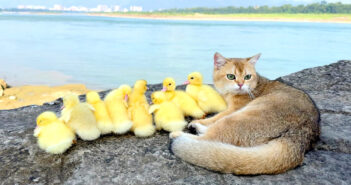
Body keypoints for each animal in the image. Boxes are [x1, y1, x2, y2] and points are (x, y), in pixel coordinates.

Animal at [169, 52, 320, 175]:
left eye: (247, 76)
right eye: (231, 76)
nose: (241, 84)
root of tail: (300, 136)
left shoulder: (232, 110)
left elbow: (216, 117)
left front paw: (199, 121)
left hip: (237, 119)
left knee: (209, 138)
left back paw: (180, 134)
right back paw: (197, 128)